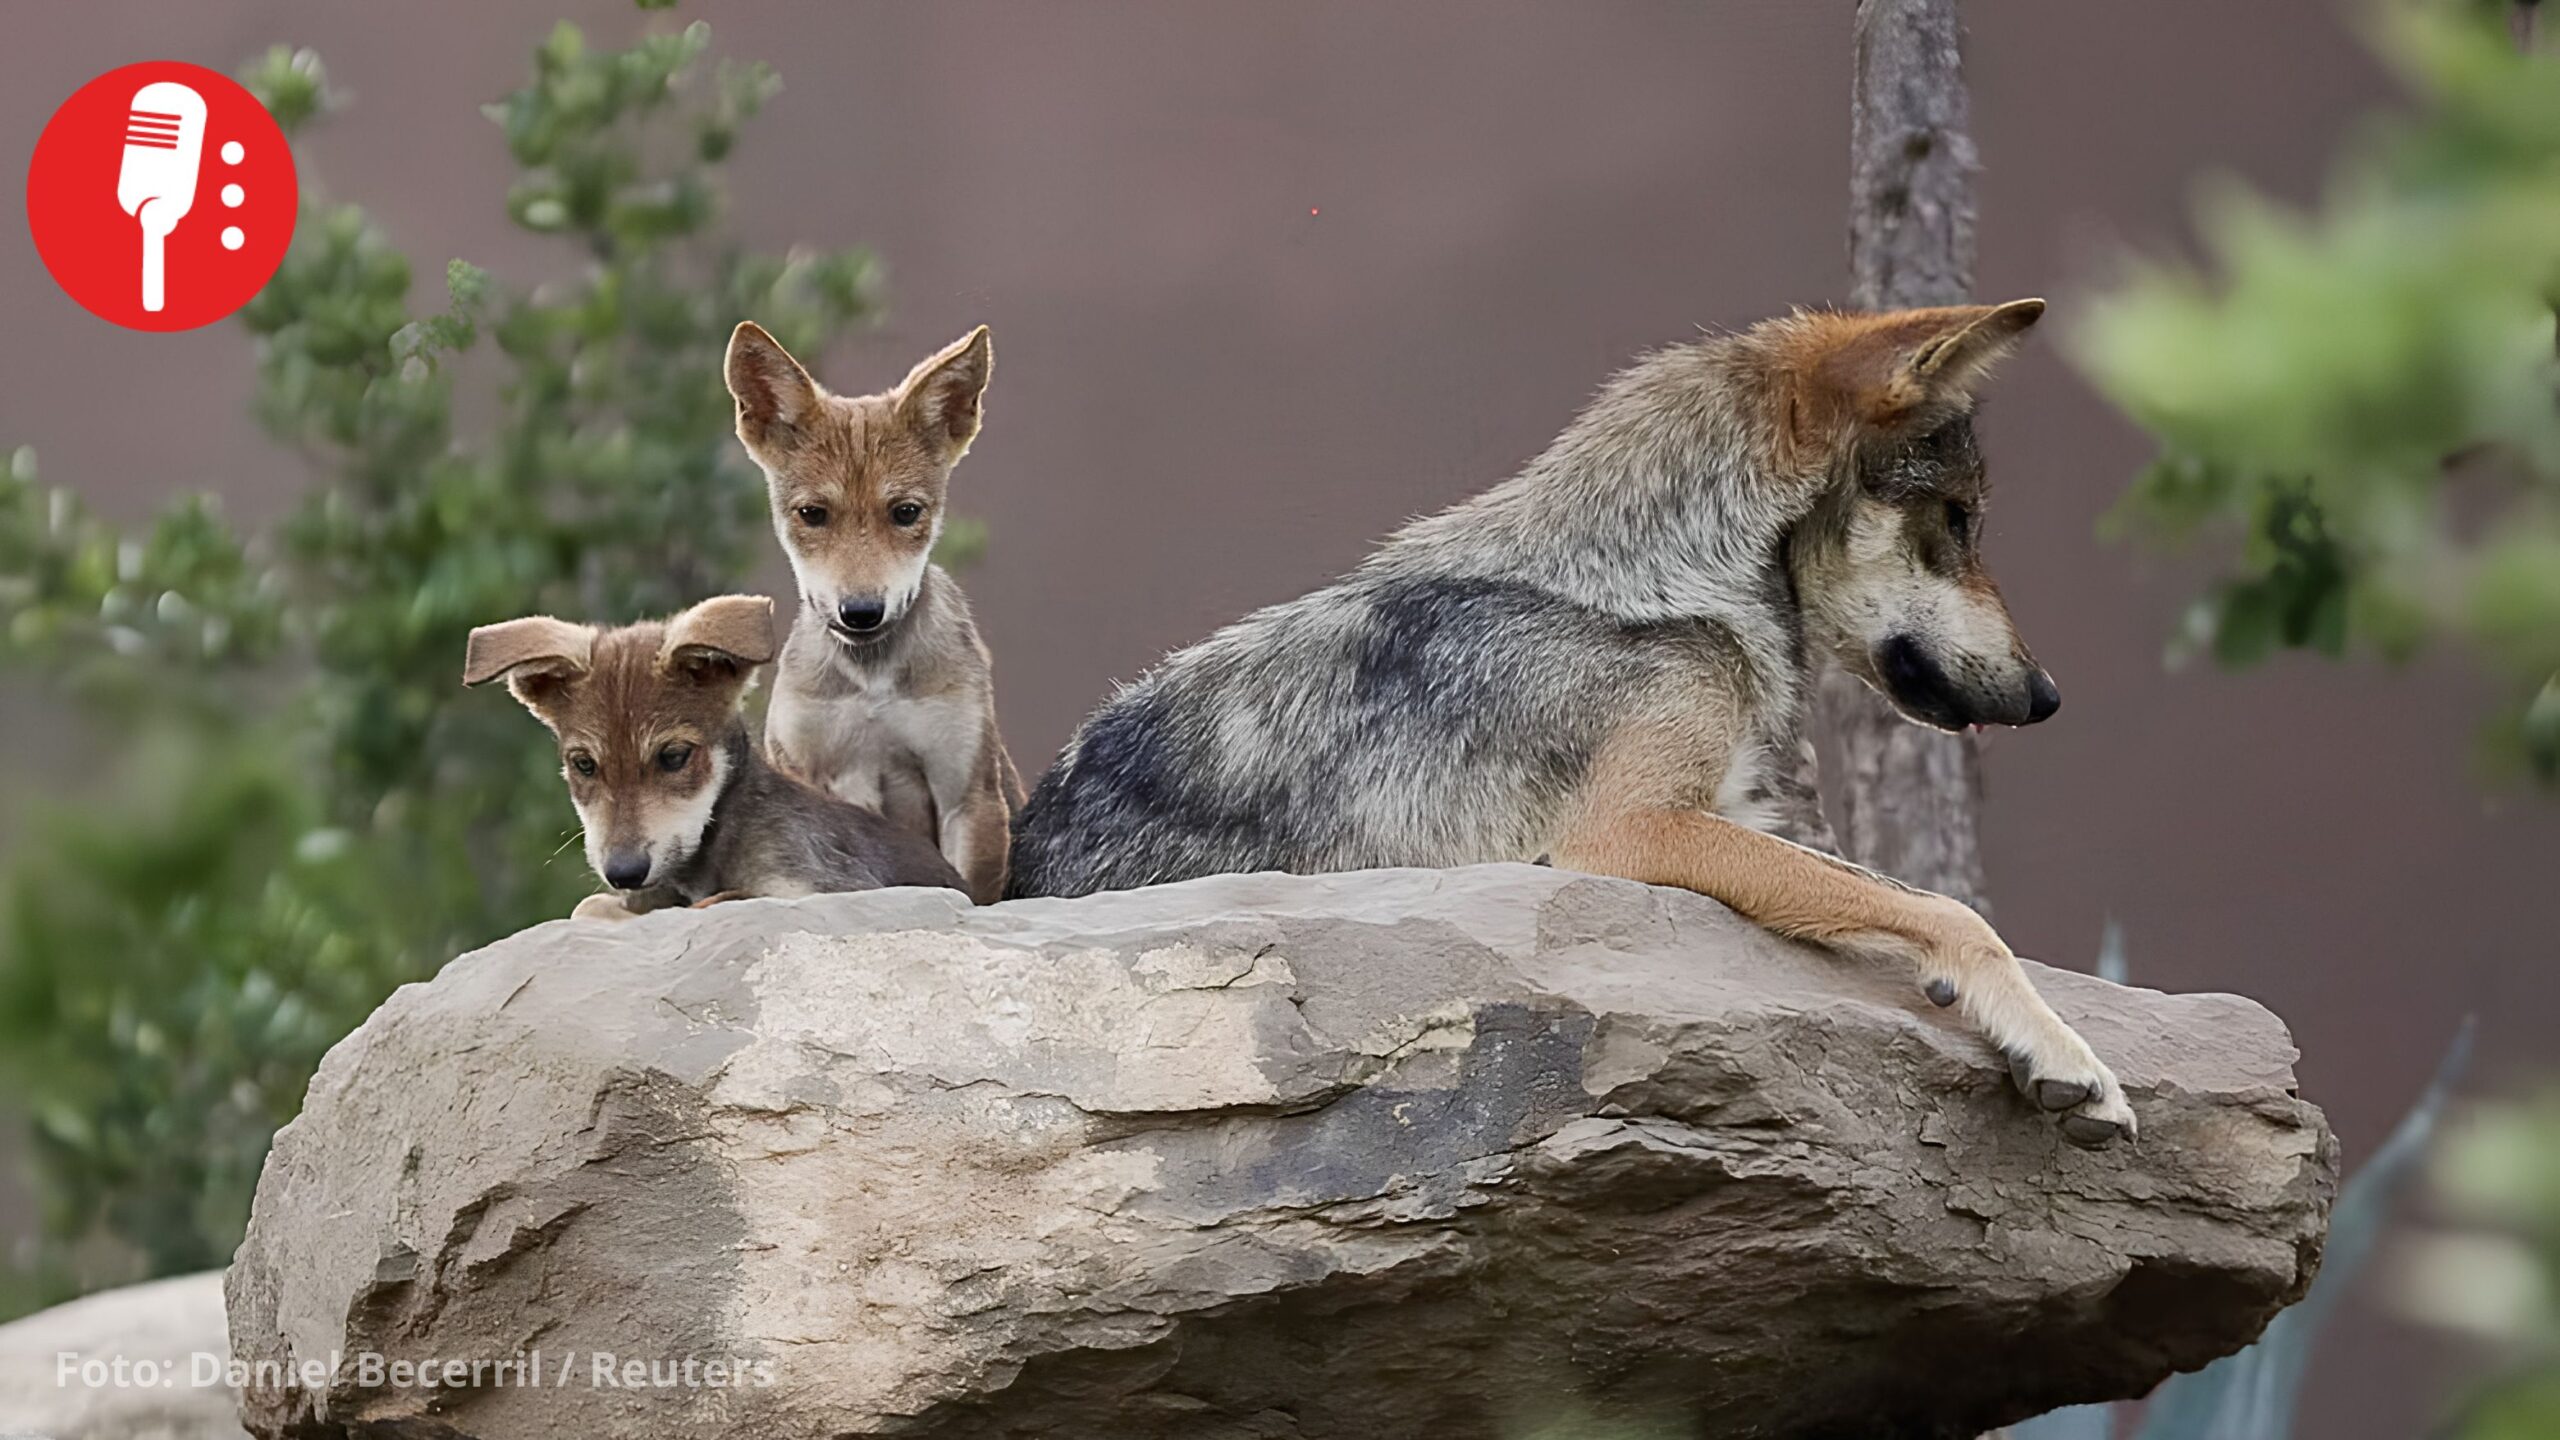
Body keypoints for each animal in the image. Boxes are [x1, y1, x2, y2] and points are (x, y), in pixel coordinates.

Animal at [464, 593, 963, 917]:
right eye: (584, 764)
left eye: (673, 757)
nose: (624, 872)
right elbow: (591, 906)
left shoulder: (828, 887)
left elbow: (713, 902)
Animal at [725, 322, 1023, 904]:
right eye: (812, 514)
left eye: (905, 512)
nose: (861, 612)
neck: (872, 686)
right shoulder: (824, 778)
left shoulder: (966, 793)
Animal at [1009, 299, 2134, 1147]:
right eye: (1958, 521)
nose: (2048, 697)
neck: (1652, 579)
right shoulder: (1629, 834)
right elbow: (1954, 911)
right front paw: (2069, 1057)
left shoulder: (1741, 816)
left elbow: (1900, 894)